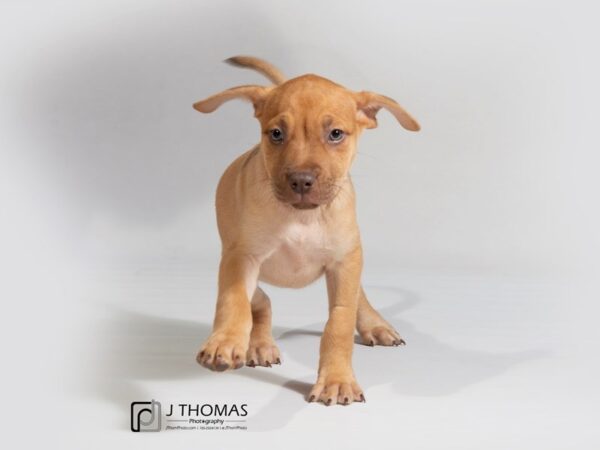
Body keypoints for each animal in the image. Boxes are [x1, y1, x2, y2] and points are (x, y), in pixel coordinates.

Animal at [195, 55, 420, 404]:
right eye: (276, 134)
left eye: (336, 134)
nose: (301, 180)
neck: (302, 218)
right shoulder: (241, 257)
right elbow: (234, 301)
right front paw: (226, 341)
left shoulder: (344, 262)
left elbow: (339, 321)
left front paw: (337, 379)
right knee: (260, 300)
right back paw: (260, 345)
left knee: (353, 295)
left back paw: (373, 323)